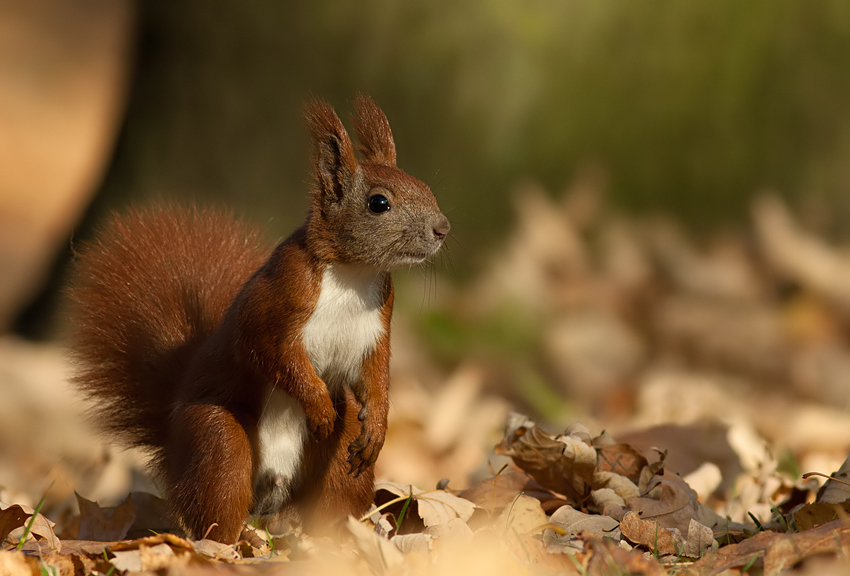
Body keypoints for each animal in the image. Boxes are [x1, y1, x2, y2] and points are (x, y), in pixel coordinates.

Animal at [69, 97, 448, 544]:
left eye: (425, 187)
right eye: (378, 203)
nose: (443, 228)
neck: (353, 274)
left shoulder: (376, 328)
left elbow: (374, 377)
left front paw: (377, 426)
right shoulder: (278, 299)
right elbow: (269, 353)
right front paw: (317, 405)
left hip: (338, 462)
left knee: (339, 479)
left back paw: (335, 539)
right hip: (218, 442)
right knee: (219, 498)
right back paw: (232, 544)